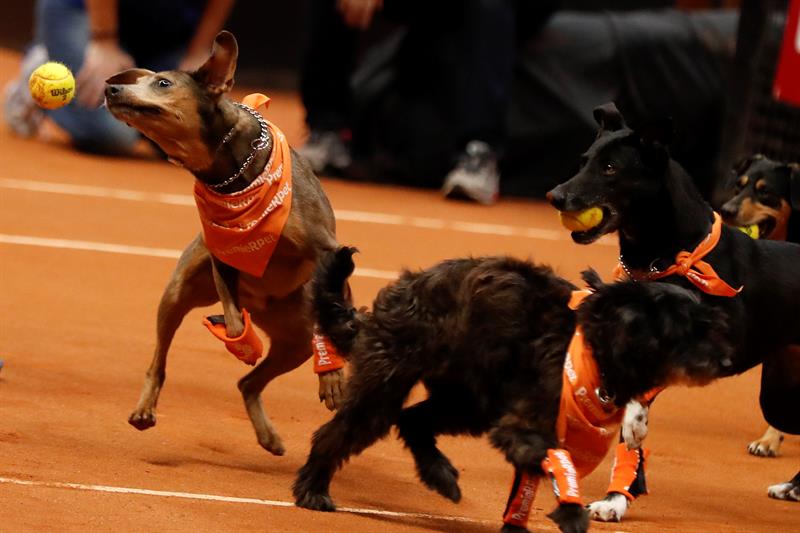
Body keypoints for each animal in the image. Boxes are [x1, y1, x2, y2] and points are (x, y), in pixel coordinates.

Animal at [294, 247, 732, 528]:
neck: (595, 345)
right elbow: (554, 466)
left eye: (709, 324)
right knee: (338, 433)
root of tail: (405, 290)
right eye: (688, 330)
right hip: (388, 385)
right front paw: (572, 514)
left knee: (413, 421)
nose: (726, 362)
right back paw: (313, 488)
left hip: (469, 402)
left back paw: (439, 475)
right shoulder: (526, 427)